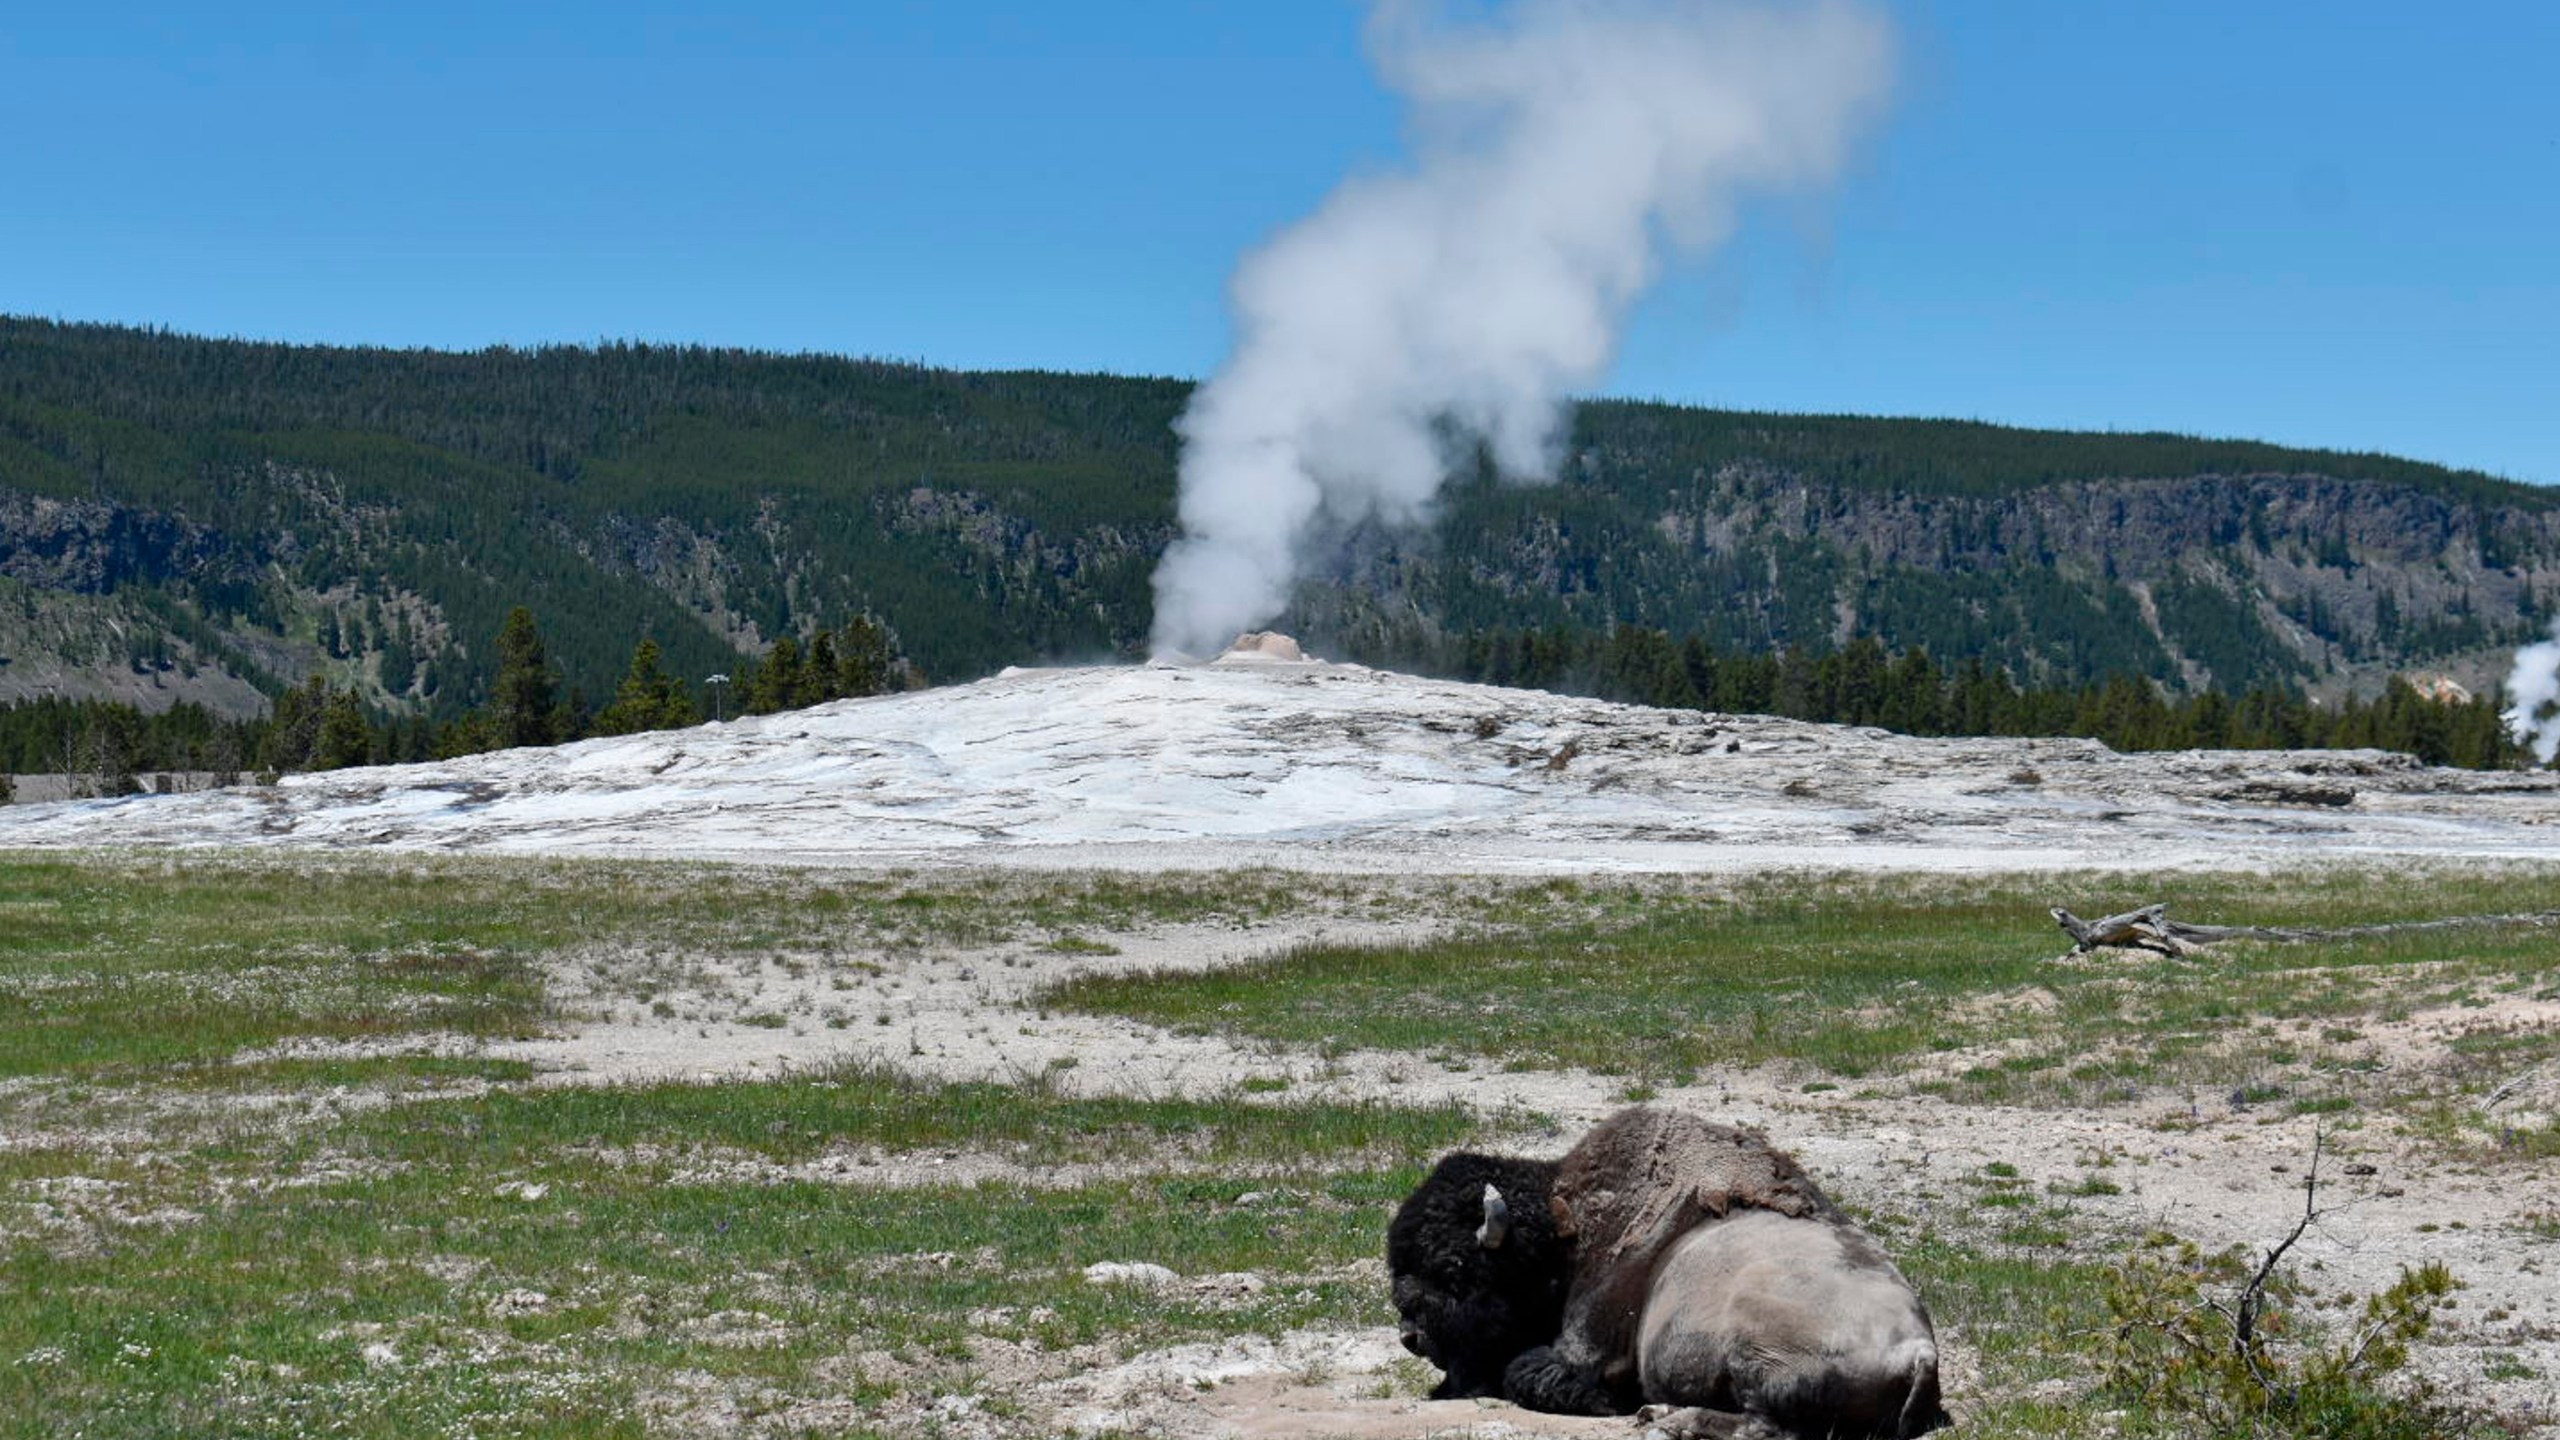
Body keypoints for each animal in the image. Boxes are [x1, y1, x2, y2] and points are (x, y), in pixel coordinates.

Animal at [1392, 1101, 1945, 1424]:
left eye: (1453, 1269)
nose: (1410, 1336)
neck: (1564, 1232)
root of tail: (1919, 1351)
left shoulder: (1585, 1349)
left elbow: (1531, 1373)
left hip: (1759, 1358)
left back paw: (1667, 1419)